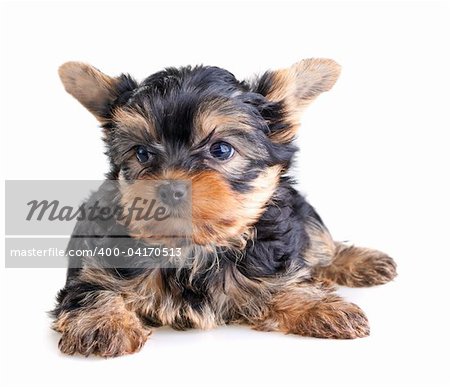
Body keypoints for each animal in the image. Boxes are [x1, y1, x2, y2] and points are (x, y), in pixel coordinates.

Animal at [51, 59, 398, 360]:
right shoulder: (96, 267)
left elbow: (285, 282)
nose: (170, 189)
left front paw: (322, 307)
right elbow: (93, 289)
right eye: (142, 153)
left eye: (221, 150)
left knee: (319, 244)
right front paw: (102, 324)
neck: (194, 250)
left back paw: (363, 261)